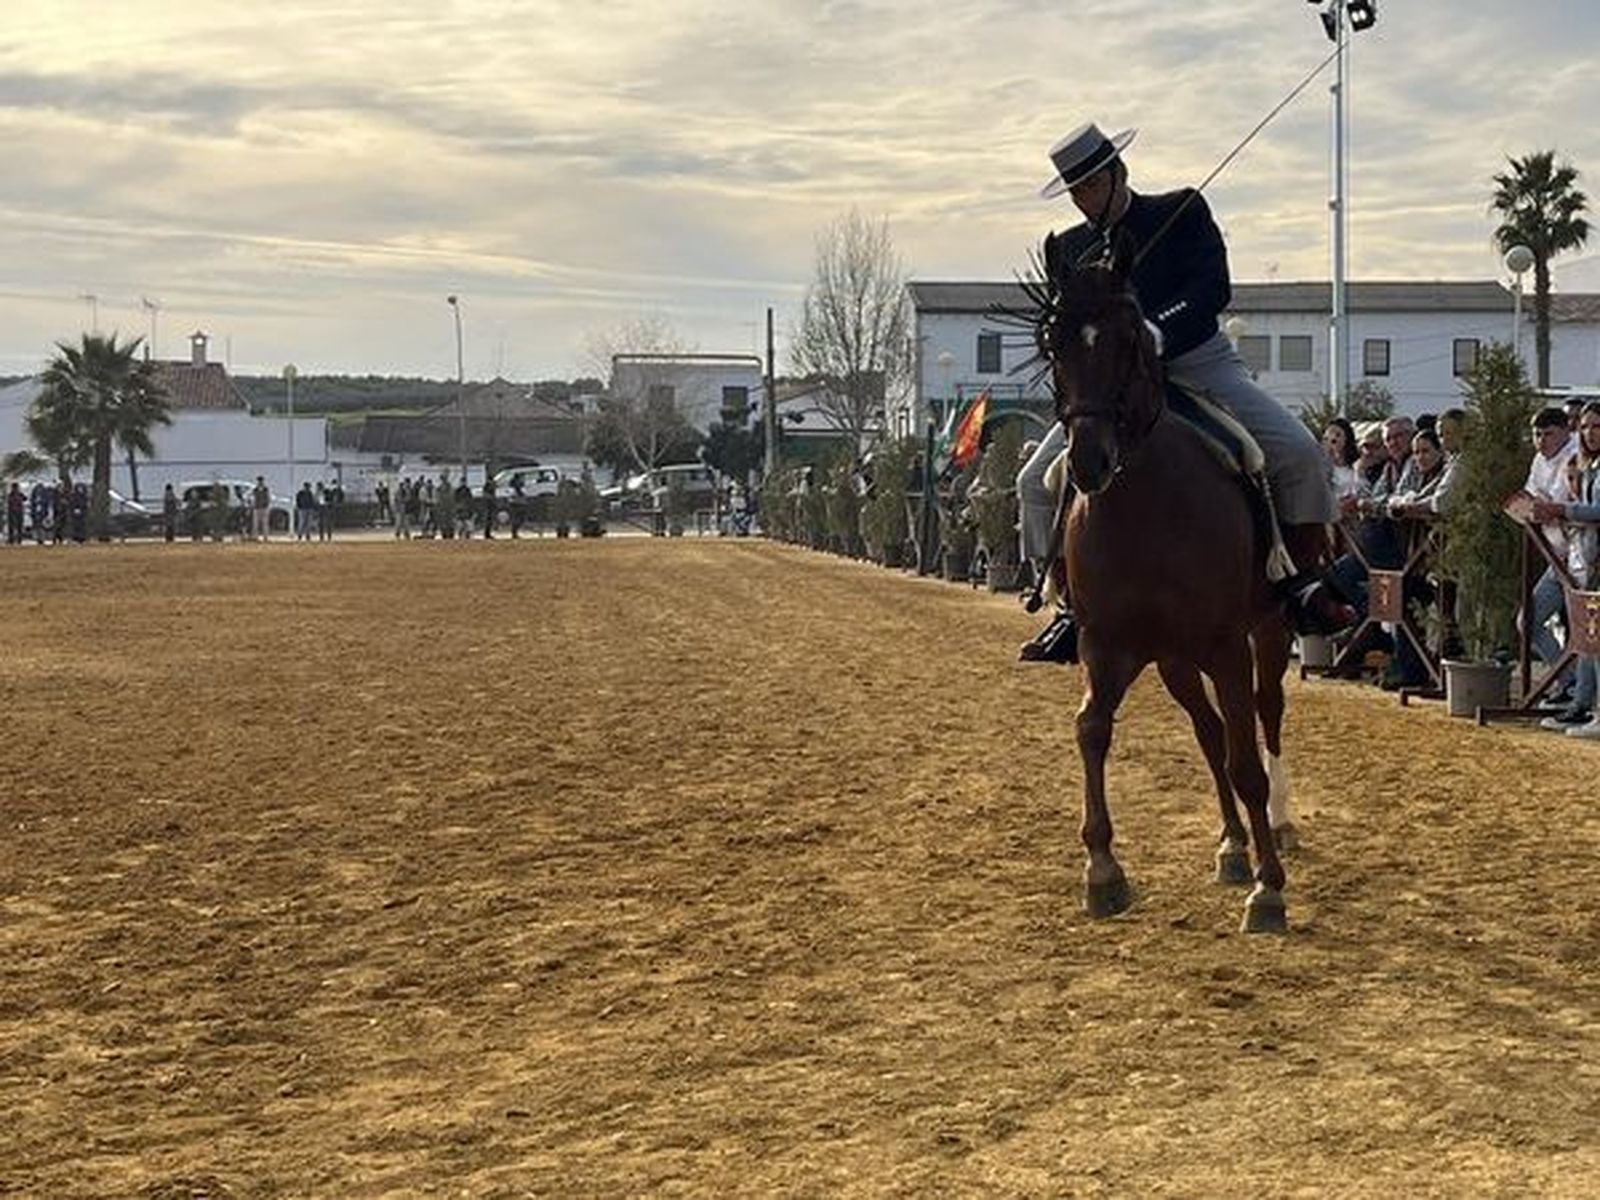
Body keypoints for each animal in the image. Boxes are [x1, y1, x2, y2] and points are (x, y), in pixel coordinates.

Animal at [1030, 235, 1298, 934]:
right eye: (1054, 342)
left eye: (1129, 338)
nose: (1088, 460)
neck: (1144, 502)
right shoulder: (1106, 645)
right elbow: (1092, 730)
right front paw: (1102, 869)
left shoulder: (1227, 646)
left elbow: (1246, 763)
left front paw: (1270, 891)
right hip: (1174, 658)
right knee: (1208, 732)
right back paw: (1232, 845)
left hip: (1267, 630)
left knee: (1265, 715)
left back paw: (1277, 827)